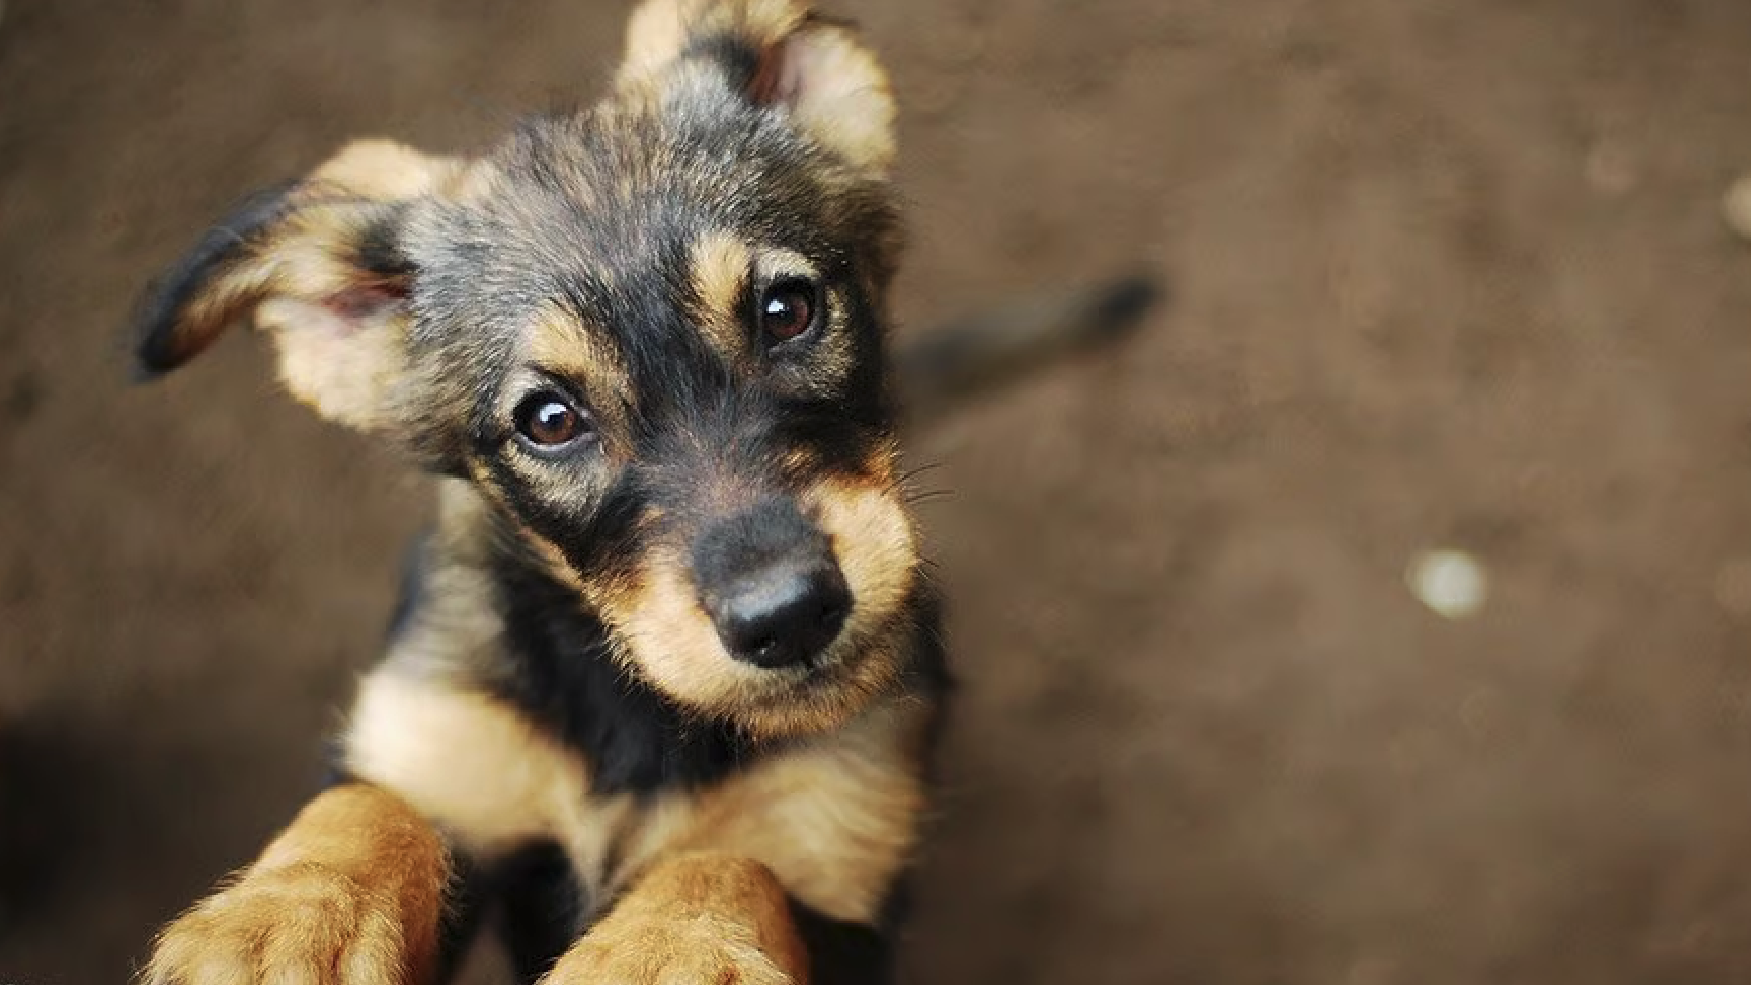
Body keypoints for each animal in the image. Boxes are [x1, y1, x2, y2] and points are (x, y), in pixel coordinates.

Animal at [129, 3, 1155, 979]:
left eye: (787, 310)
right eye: (548, 418)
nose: (787, 616)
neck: (638, 716)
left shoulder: (836, 863)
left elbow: (727, 864)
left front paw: (665, 952)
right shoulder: (442, 743)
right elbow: (366, 805)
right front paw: (283, 920)